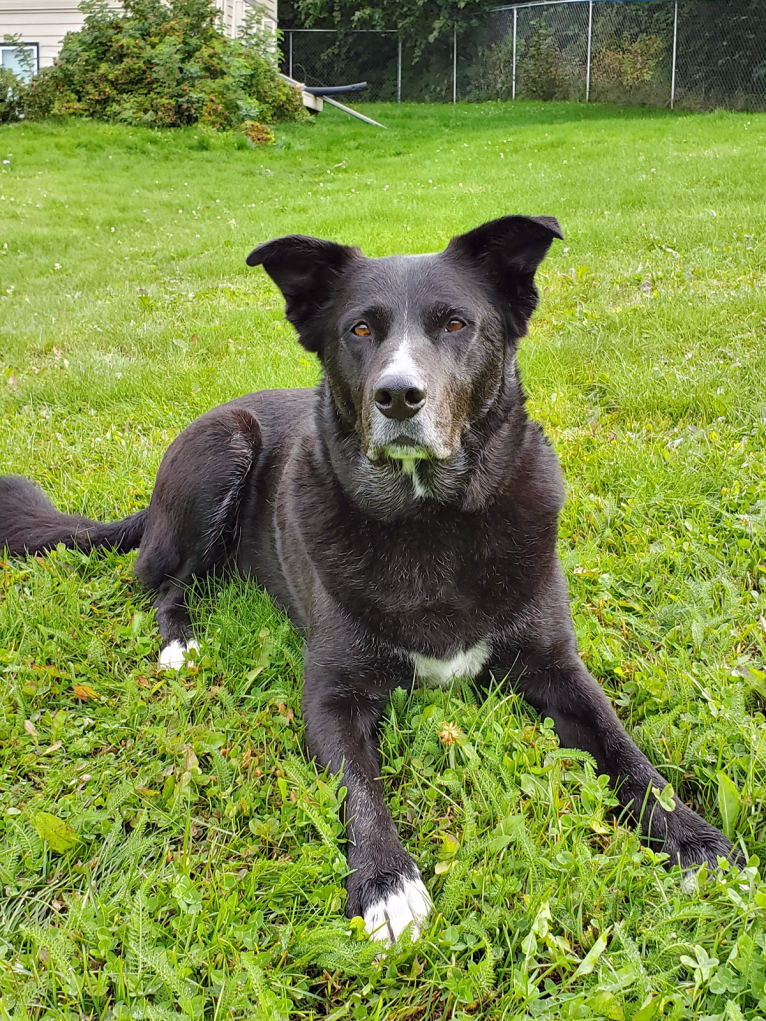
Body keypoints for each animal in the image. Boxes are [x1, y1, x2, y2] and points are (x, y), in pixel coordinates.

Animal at [3, 219, 739, 943]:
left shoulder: (557, 666)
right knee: (160, 582)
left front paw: (694, 838)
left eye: (456, 323)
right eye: (359, 329)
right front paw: (387, 881)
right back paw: (179, 642)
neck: (428, 520)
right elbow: (358, 787)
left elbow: (627, 751)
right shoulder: (333, 696)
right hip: (223, 449)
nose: (398, 395)